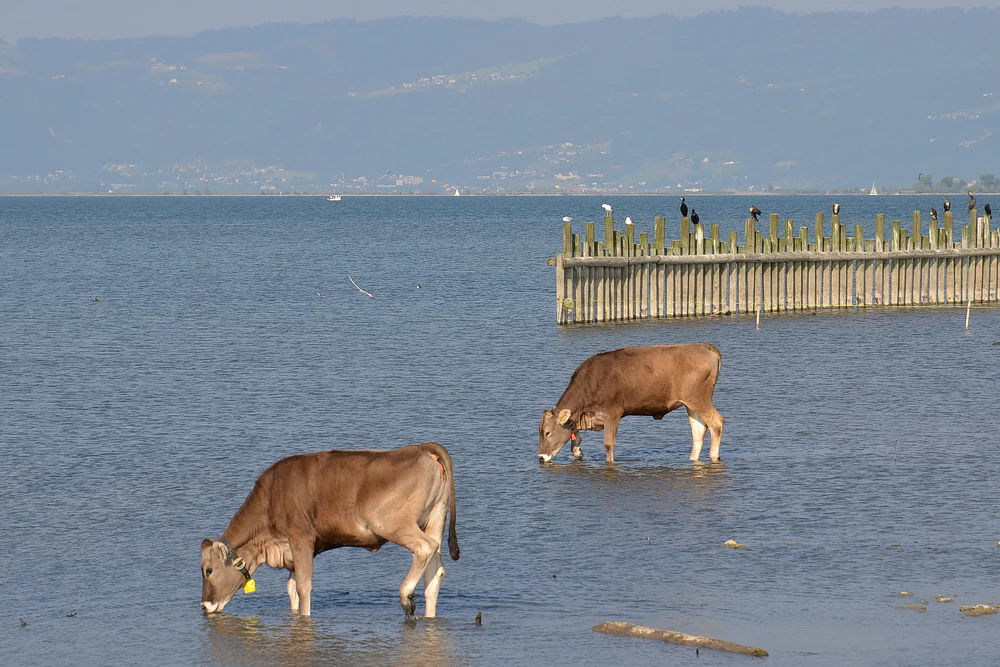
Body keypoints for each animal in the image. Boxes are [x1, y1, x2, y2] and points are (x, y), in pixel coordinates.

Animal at [200, 442, 459, 618]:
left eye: (208, 571)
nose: (204, 605)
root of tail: (421, 448)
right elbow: (292, 588)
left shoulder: (300, 538)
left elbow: (303, 587)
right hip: (435, 518)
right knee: (434, 573)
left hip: (393, 523)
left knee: (425, 548)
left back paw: (406, 596)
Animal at [538, 343, 724, 464]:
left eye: (547, 432)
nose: (541, 457)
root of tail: (702, 346)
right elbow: (575, 439)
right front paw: (578, 453)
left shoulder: (612, 413)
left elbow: (608, 444)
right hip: (691, 404)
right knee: (698, 430)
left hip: (699, 398)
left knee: (716, 422)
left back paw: (713, 456)